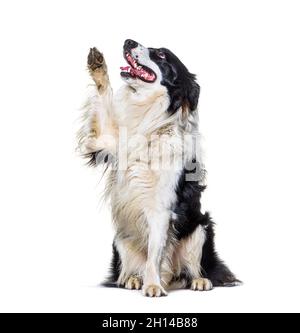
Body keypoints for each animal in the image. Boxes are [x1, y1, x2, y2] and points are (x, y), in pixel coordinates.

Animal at [77, 39, 239, 296]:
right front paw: (98, 67)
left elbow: (155, 251)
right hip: (121, 237)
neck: (148, 121)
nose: (129, 41)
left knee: (191, 268)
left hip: (202, 227)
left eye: (162, 55)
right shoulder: (104, 141)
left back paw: (198, 281)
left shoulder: (161, 207)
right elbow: (103, 99)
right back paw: (133, 279)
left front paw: (153, 285)